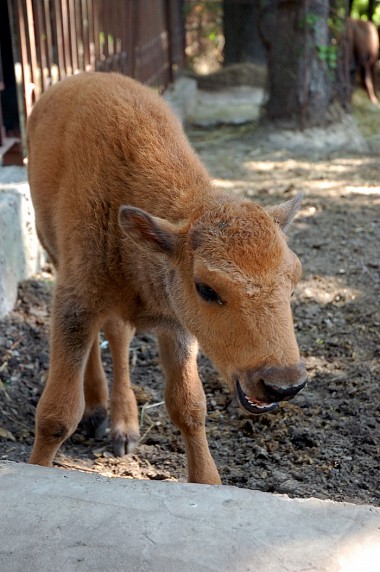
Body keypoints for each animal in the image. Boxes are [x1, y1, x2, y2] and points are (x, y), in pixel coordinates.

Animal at [26, 71, 306, 482]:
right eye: (206, 288)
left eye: (293, 280)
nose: (282, 384)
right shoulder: (75, 300)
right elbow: (56, 414)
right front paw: (37, 467)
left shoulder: (176, 323)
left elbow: (189, 405)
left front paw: (207, 480)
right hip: (57, 257)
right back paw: (98, 411)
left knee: (117, 334)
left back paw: (123, 426)